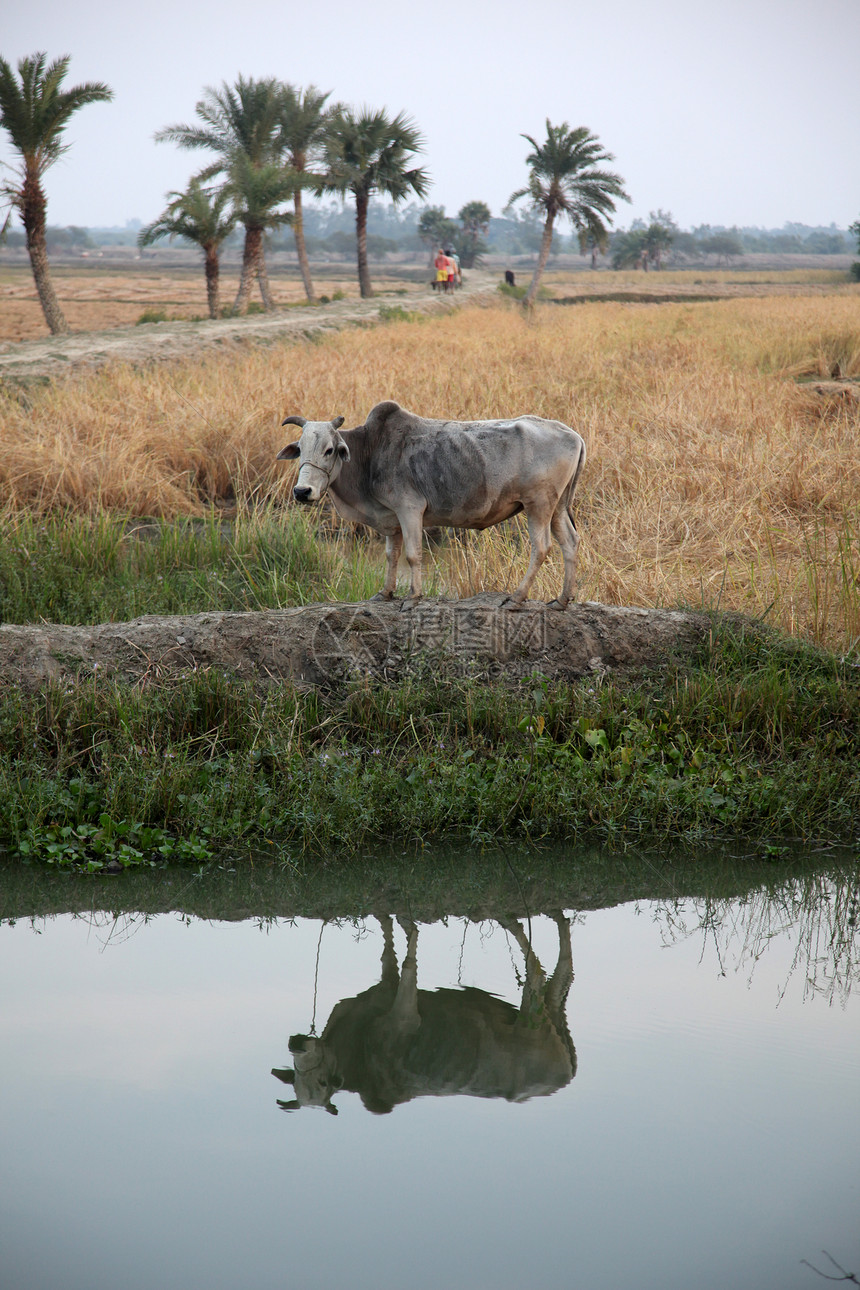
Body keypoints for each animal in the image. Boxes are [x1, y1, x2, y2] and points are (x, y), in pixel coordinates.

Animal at [272, 913, 575, 1114]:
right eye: (296, 1075)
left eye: (322, 1082)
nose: (296, 1044)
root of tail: (564, 1078)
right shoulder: (385, 987)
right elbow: (387, 946)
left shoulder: (403, 1015)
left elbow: (408, 961)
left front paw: (410, 925)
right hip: (555, 1017)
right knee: (561, 975)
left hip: (534, 1022)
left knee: (535, 973)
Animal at [279, 397, 587, 608]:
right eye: (300, 449)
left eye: (330, 450)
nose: (302, 491)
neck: (370, 452)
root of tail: (573, 434)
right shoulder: (392, 520)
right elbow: (391, 555)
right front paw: (385, 593)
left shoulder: (410, 509)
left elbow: (413, 555)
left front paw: (413, 596)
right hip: (557, 507)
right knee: (569, 542)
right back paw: (562, 600)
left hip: (539, 505)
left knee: (541, 547)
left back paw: (517, 597)